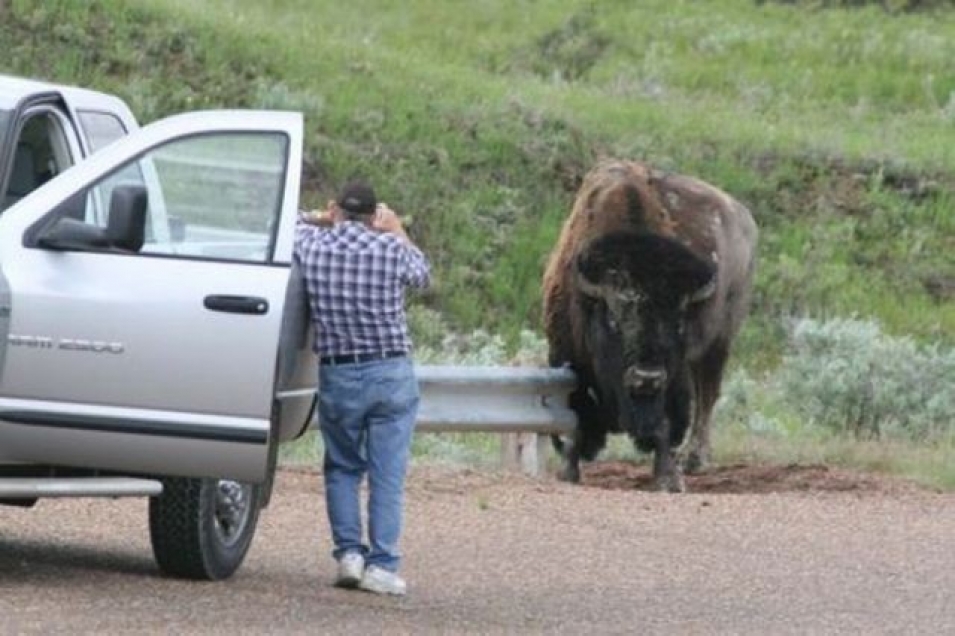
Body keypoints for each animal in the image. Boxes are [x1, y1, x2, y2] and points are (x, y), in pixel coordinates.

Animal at [544, 159, 756, 492]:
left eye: (678, 321)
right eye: (613, 319)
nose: (646, 378)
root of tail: (744, 217)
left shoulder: (673, 378)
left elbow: (666, 424)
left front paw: (669, 479)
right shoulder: (566, 358)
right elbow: (576, 415)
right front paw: (569, 472)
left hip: (718, 344)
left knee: (707, 396)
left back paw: (694, 460)